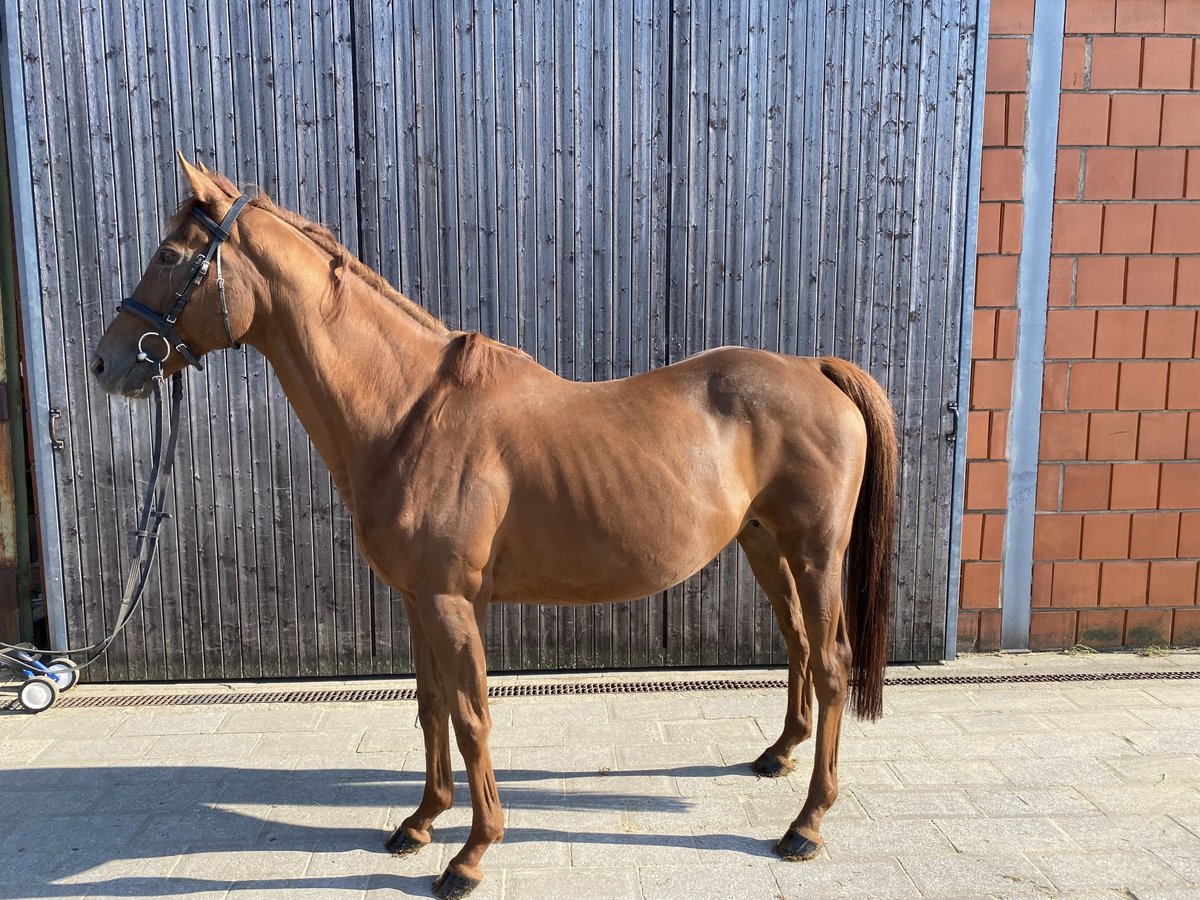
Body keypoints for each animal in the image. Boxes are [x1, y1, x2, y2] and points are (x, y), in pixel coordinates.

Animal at [93, 158, 897, 897]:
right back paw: (779, 755)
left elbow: (472, 715)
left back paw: (806, 824)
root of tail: (816, 369)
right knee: (799, 646)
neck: (408, 414)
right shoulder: (420, 600)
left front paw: (471, 855)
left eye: (169, 256)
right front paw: (420, 823)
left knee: (830, 664)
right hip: (765, 545)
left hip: (815, 553)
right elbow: (431, 709)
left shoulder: (452, 601)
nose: (105, 363)